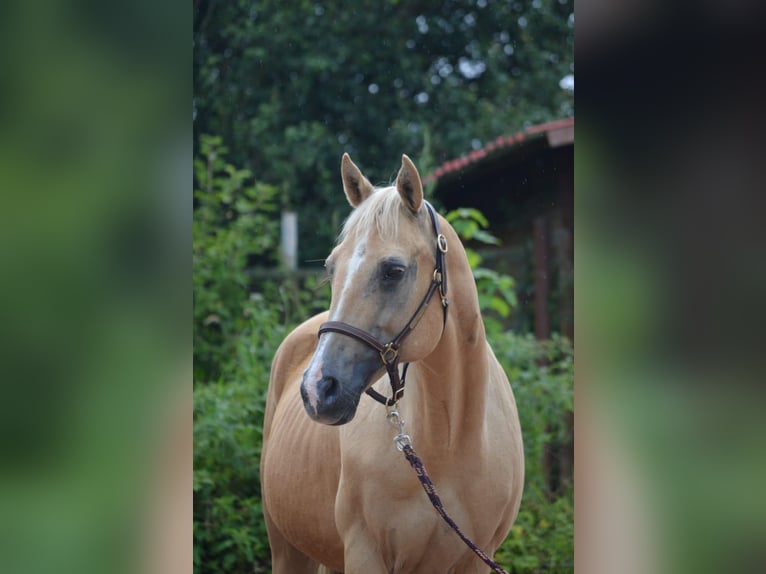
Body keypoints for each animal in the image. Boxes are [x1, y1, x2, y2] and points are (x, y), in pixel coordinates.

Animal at [260, 154, 524, 574]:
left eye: (393, 271)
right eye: (331, 269)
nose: (317, 389)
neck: (449, 444)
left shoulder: (478, 557)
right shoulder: (365, 553)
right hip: (287, 549)